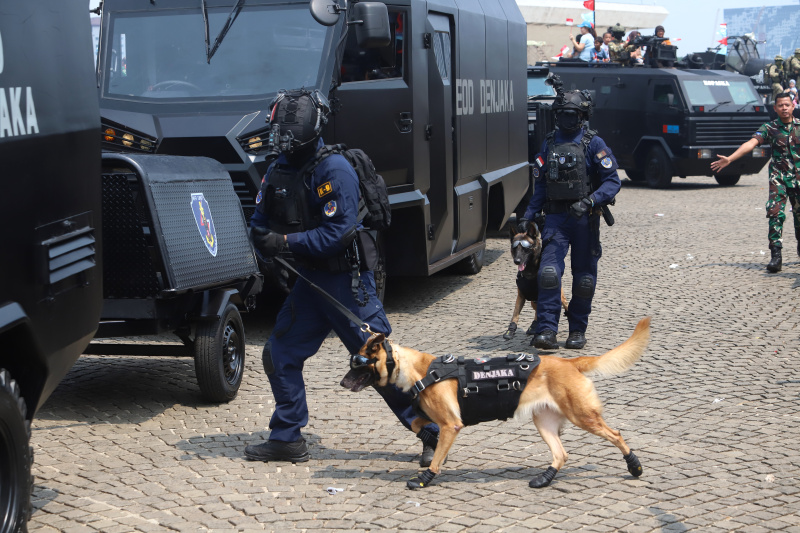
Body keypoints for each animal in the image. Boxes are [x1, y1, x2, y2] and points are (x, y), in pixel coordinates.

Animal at [340, 318, 648, 488]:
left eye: (358, 363)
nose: (341, 384)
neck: (419, 370)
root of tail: (570, 363)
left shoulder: (451, 424)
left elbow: (436, 459)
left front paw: (425, 478)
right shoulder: (435, 419)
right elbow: (418, 423)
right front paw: (430, 440)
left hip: (582, 416)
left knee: (616, 434)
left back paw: (634, 466)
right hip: (544, 422)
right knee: (561, 454)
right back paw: (544, 479)